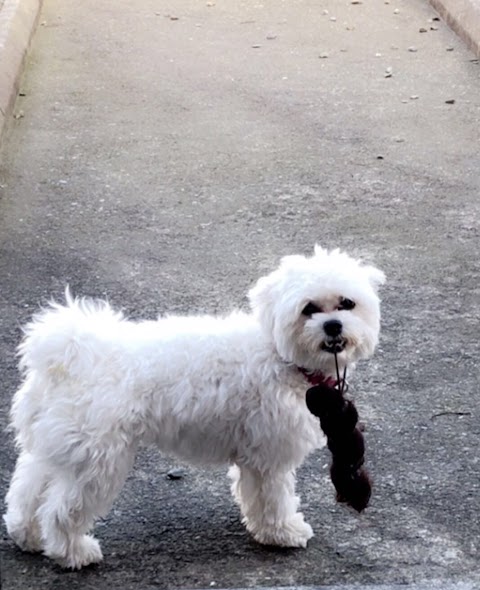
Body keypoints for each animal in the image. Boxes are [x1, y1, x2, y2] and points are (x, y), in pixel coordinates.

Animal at [3, 245, 384, 568]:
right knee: (59, 510)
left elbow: (254, 497)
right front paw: (283, 532)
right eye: (309, 309)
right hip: (98, 460)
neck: (280, 354)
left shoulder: (253, 455)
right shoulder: (269, 456)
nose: (333, 326)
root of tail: (74, 356)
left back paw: (28, 536)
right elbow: (273, 499)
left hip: (59, 447)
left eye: (347, 303)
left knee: (28, 490)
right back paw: (73, 552)